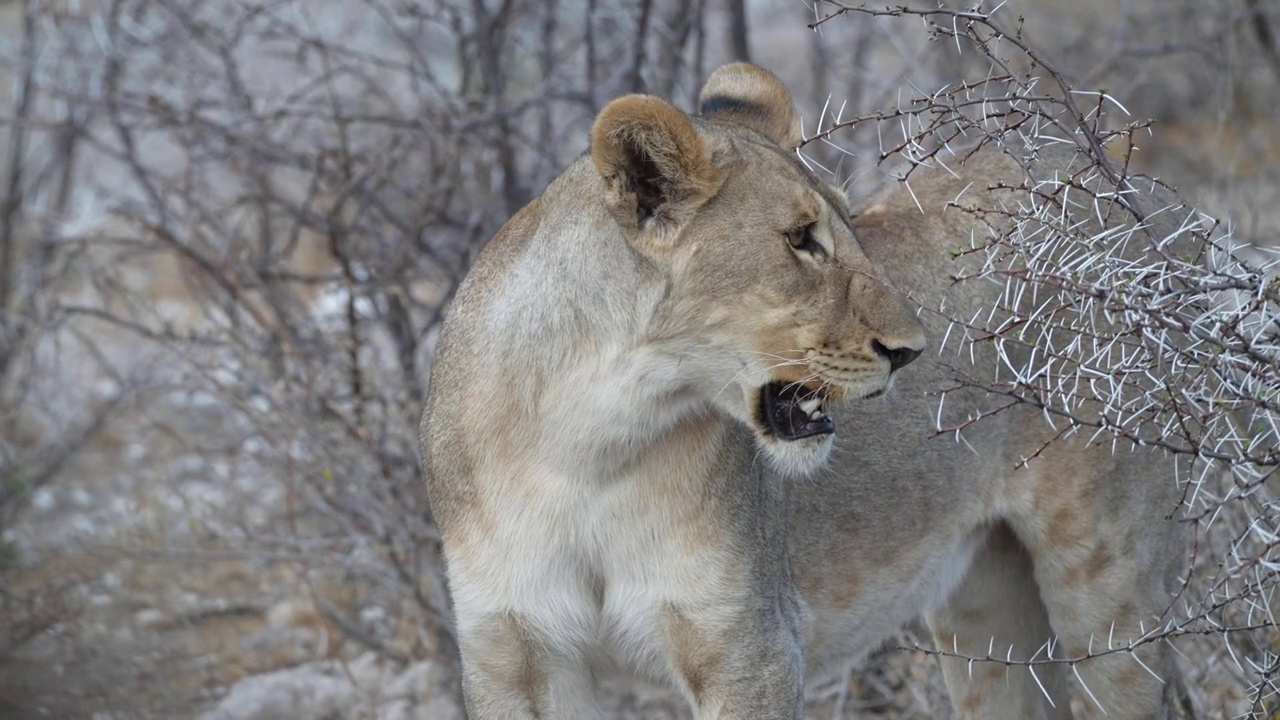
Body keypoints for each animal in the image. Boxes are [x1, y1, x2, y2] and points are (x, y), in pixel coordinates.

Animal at [422, 63, 1187, 717]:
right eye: (799, 239)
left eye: (848, 221)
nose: (911, 352)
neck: (586, 441)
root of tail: (1125, 186)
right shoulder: (514, 653)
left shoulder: (747, 644)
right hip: (984, 605)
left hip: (1107, 577)